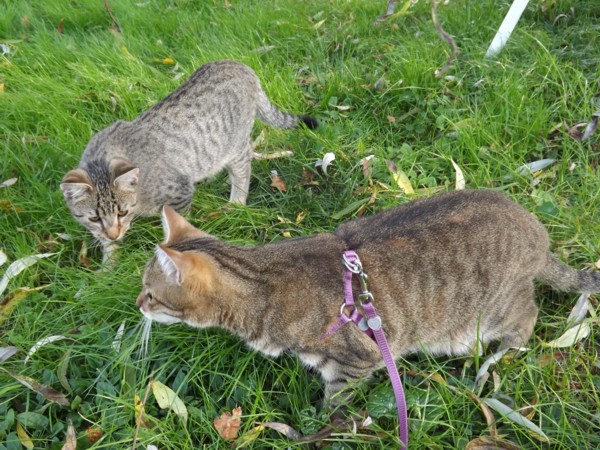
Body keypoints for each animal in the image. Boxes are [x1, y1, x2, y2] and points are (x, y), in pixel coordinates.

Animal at [59, 60, 318, 264]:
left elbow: (177, 228)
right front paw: (108, 267)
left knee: (244, 166)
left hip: (234, 147)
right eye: (94, 218)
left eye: (122, 212)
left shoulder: (180, 191)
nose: (114, 233)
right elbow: (107, 246)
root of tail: (239, 65)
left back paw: (236, 202)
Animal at [136, 188, 600, 406]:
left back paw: (496, 357)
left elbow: (333, 404)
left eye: (150, 293)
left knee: (527, 318)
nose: (137, 304)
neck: (260, 280)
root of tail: (539, 235)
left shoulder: (357, 359)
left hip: (490, 316)